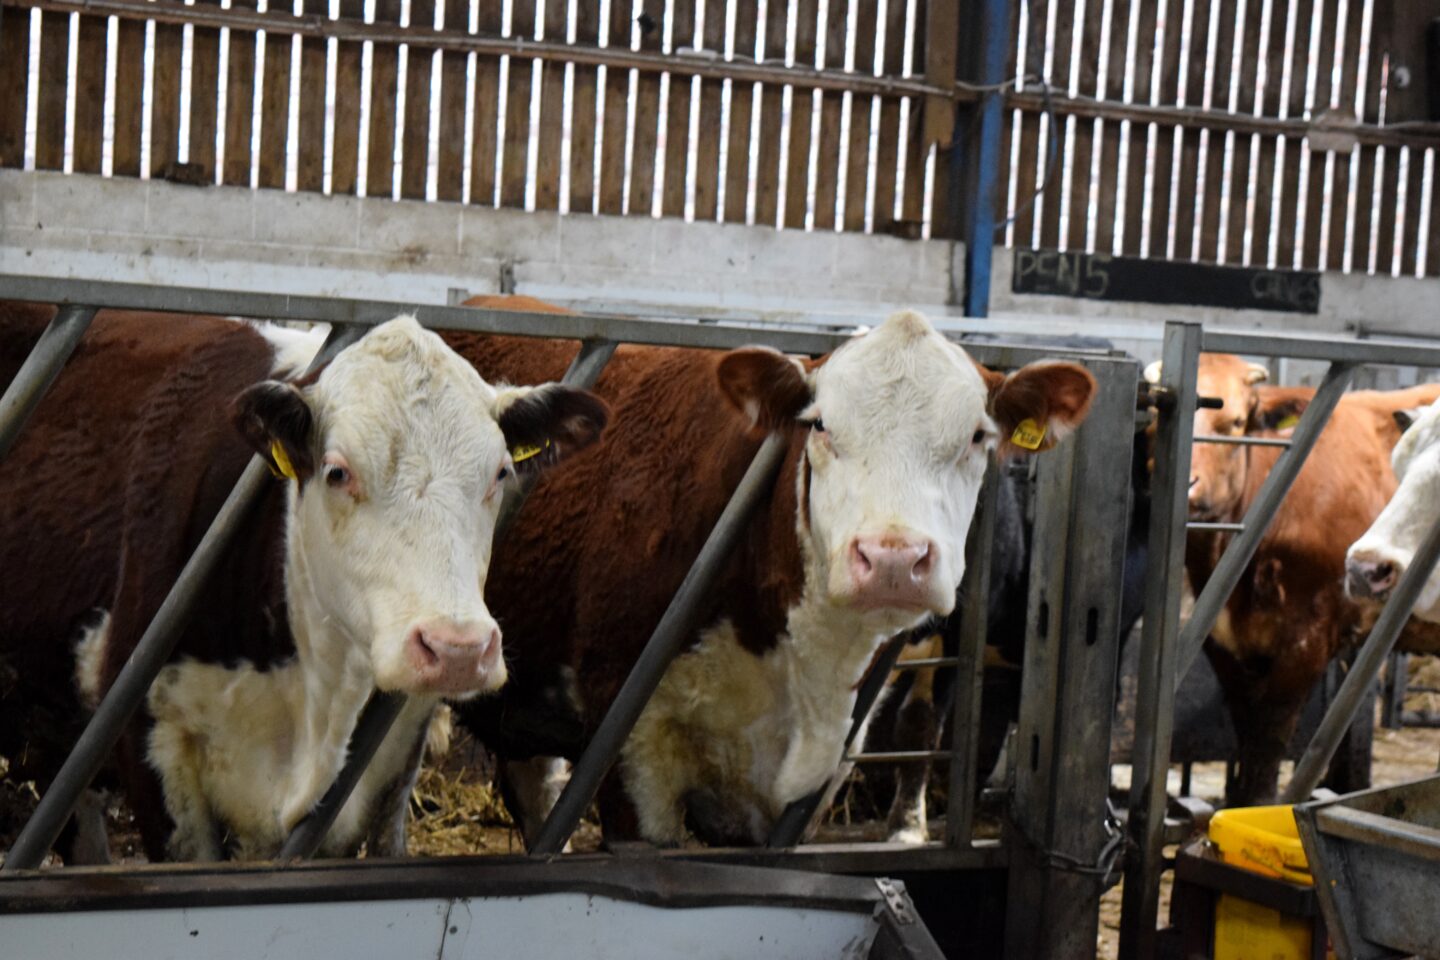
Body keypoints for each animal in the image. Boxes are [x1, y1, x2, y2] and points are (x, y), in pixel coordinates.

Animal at [1163, 352, 1440, 805]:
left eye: (1235, 422)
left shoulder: (1307, 638)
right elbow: (1248, 737)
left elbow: (1271, 741)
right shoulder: (1225, 645)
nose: (1188, 488)